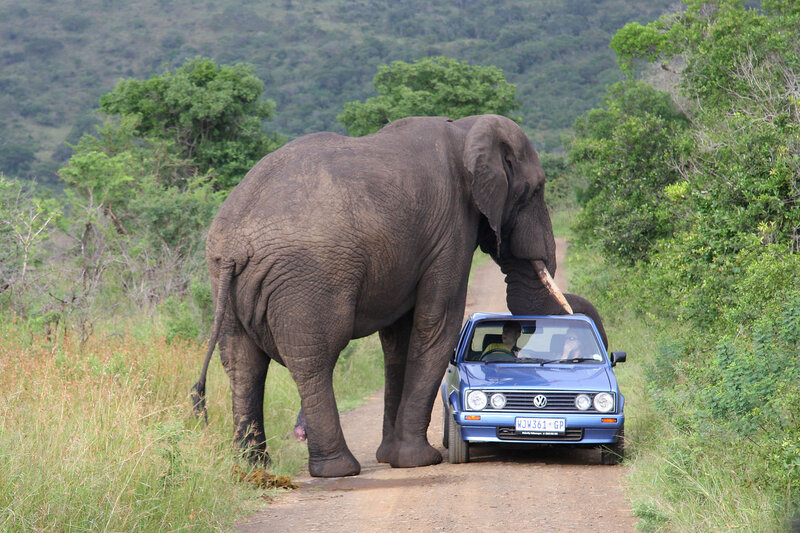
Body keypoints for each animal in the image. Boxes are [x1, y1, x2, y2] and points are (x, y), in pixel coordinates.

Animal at [192, 114, 587, 478]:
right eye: (535, 190)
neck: (465, 129)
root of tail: (235, 245)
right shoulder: (451, 230)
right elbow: (437, 324)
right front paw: (419, 461)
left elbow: (399, 340)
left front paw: (390, 457)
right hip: (307, 278)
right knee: (314, 359)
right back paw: (337, 470)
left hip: (223, 280)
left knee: (243, 363)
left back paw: (252, 469)